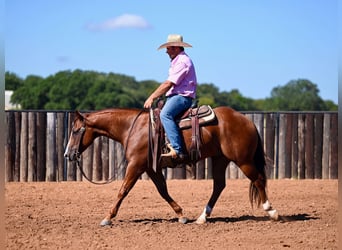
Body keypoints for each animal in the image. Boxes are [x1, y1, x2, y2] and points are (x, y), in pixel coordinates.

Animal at [63, 106, 278, 226]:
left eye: (75, 131)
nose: (68, 154)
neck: (132, 127)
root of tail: (246, 120)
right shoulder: (151, 168)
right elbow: (163, 191)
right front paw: (181, 215)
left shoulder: (136, 165)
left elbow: (123, 190)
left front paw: (107, 218)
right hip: (220, 159)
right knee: (219, 185)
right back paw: (202, 217)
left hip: (243, 160)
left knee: (258, 180)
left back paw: (272, 211)